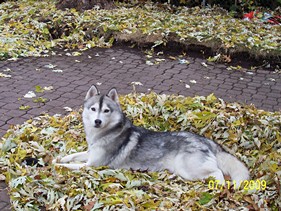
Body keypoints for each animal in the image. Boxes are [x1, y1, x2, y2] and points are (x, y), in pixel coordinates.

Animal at [52, 85, 247, 185]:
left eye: (106, 110)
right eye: (93, 109)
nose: (97, 121)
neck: (105, 133)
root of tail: (205, 140)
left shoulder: (93, 165)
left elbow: (71, 166)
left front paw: (55, 165)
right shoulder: (90, 153)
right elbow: (73, 155)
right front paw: (58, 158)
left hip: (190, 169)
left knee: (218, 173)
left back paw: (217, 187)